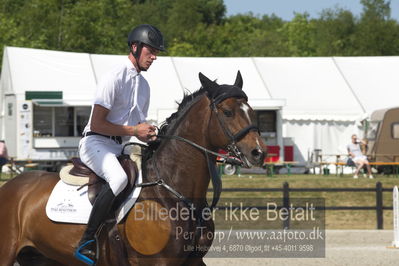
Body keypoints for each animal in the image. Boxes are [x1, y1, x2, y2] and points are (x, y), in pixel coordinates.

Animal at [0, 71, 268, 266]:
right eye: (228, 112)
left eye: (252, 112)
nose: (259, 153)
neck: (173, 191)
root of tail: (10, 187)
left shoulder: (192, 262)